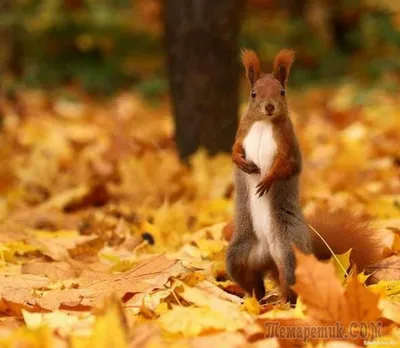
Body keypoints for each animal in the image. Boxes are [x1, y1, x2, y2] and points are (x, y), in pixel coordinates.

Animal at [227, 47, 382, 304]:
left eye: (282, 91)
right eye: (253, 93)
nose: (269, 107)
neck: (263, 123)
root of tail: (267, 258)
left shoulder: (289, 145)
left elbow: (287, 166)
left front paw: (267, 180)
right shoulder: (242, 133)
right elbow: (235, 149)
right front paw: (240, 162)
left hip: (289, 255)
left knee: (291, 284)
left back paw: (286, 303)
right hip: (238, 256)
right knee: (251, 281)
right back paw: (254, 300)